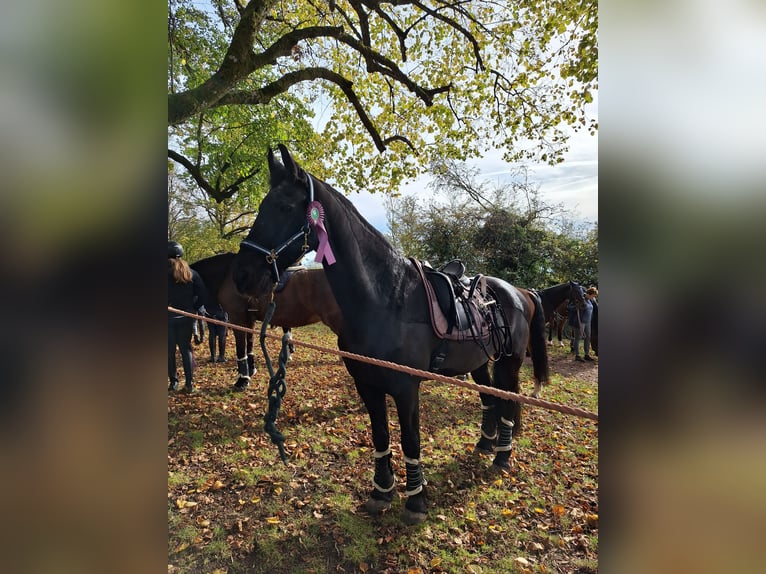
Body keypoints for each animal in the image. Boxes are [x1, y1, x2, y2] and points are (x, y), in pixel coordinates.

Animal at [190, 253, 344, 392]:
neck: (228, 276)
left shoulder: (237, 319)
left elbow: (241, 350)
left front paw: (242, 380)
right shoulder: (249, 319)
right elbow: (249, 346)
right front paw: (250, 371)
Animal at [231, 145, 548, 528]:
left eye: (285, 207)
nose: (242, 275)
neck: (387, 299)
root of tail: (519, 293)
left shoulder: (406, 387)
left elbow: (410, 440)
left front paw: (416, 500)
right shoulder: (366, 384)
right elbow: (380, 434)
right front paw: (382, 491)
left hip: (509, 363)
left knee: (509, 400)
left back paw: (502, 456)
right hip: (480, 363)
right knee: (490, 399)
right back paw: (485, 445)